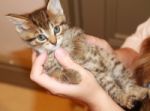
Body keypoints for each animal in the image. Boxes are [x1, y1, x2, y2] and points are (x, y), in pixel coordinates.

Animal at [7, 0, 149, 109]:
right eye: (41, 37)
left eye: (56, 29)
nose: (54, 42)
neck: (58, 49)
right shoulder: (48, 67)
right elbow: (57, 73)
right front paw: (73, 75)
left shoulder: (78, 32)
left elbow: (78, 39)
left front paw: (78, 52)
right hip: (103, 78)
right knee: (113, 88)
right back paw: (127, 97)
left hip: (114, 63)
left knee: (126, 81)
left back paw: (137, 91)